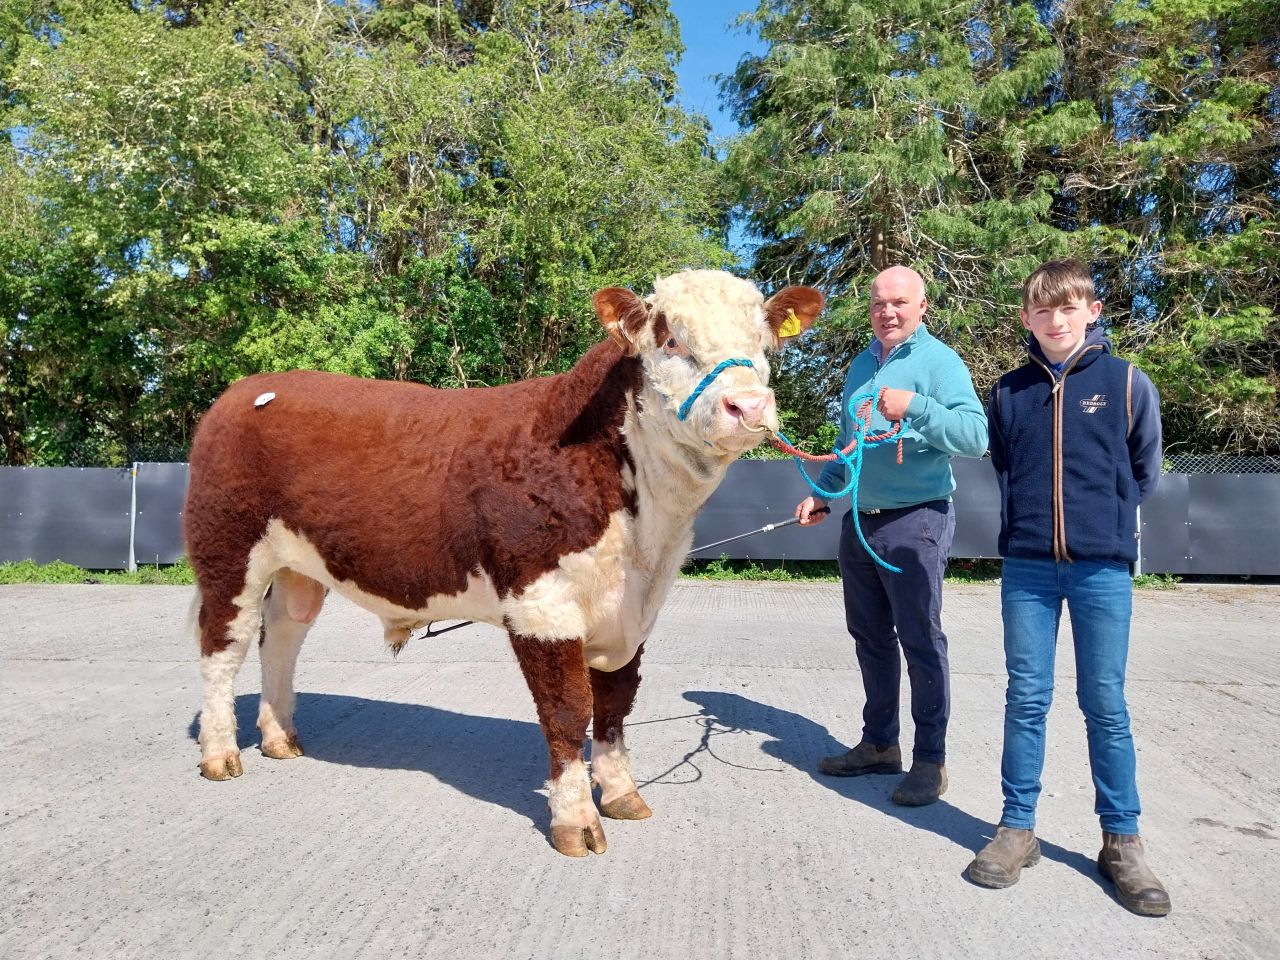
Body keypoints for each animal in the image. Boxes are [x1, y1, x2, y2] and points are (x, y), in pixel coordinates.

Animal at [185, 269, 824, 856]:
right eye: (669, 338)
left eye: (763, 338)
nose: (748, 404)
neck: (647, 534)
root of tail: (245, 391)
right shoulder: (541, 604)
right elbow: (568, 712)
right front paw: (576, 822)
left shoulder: (636, 612)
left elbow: (615, 705)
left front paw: (621, 794)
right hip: (227, 550)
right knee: (224, 646)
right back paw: (221, 753)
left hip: (299, 568)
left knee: (281, 638)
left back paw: (279, 738)